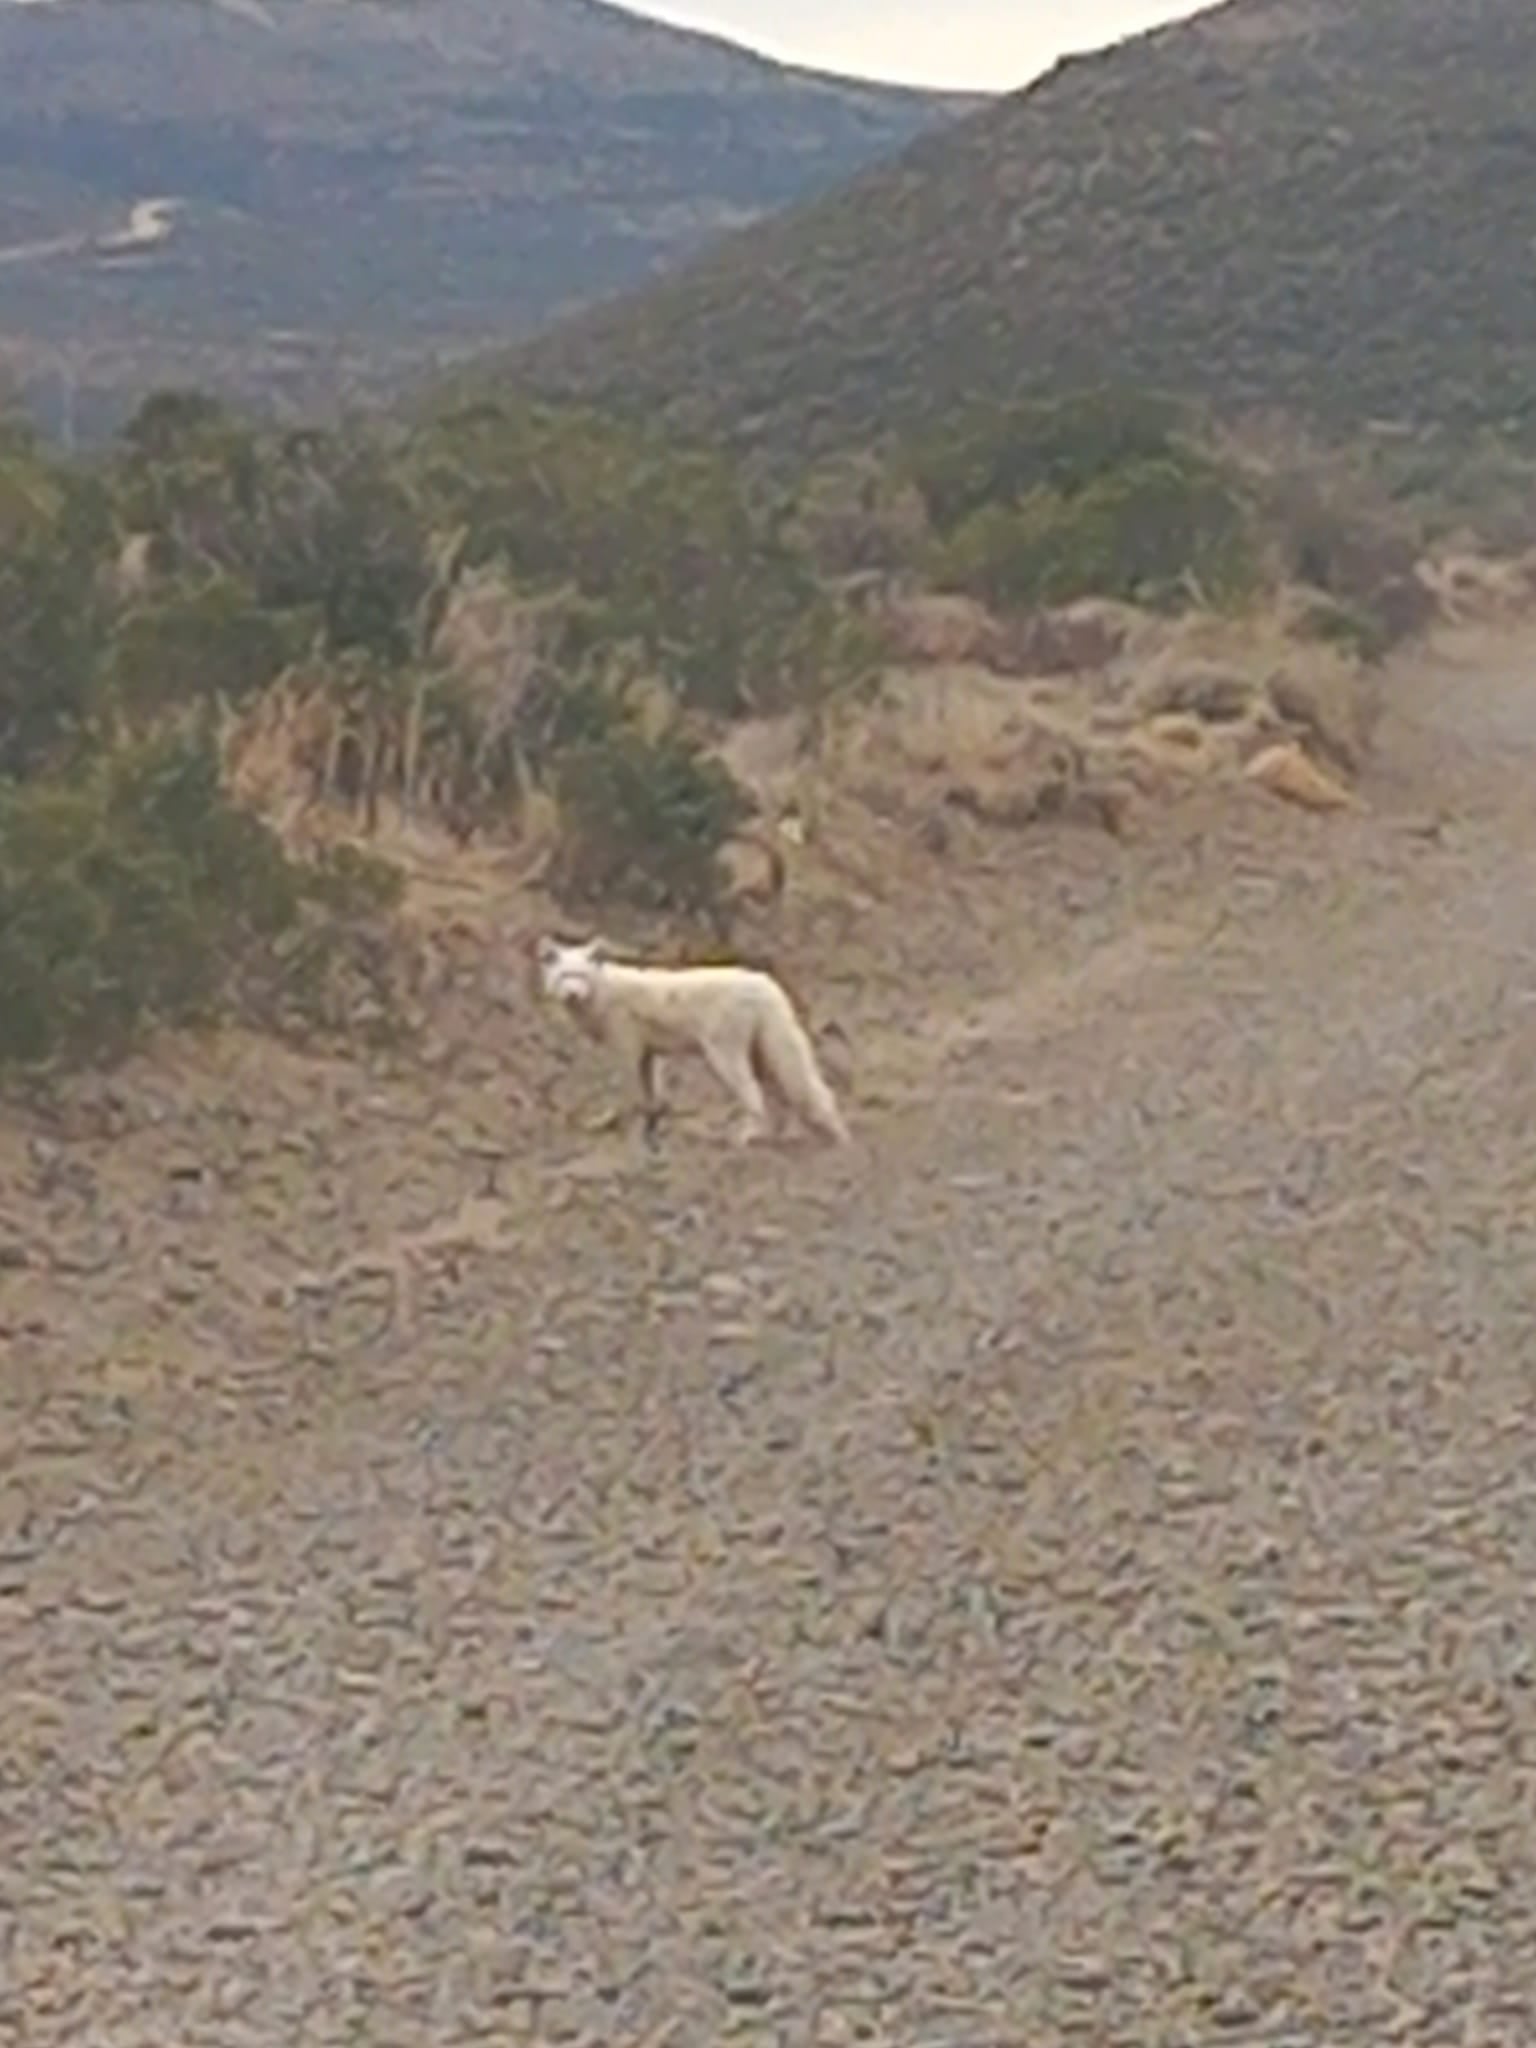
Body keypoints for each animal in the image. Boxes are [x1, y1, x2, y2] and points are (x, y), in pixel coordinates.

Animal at [536, 937, 856, 1146]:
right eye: (563, 976)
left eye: (580, 975)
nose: (572, 994)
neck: (605, 992)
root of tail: (765, 983)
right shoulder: (651, 1054)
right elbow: (653, 1095)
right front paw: (651, 1127)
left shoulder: (628, 1049)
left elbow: (628, 1094)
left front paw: (611, 1123)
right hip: (763, 1055)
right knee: (794, 1092)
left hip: (723, 1055)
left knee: (755, 1093)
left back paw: (747, 1136)